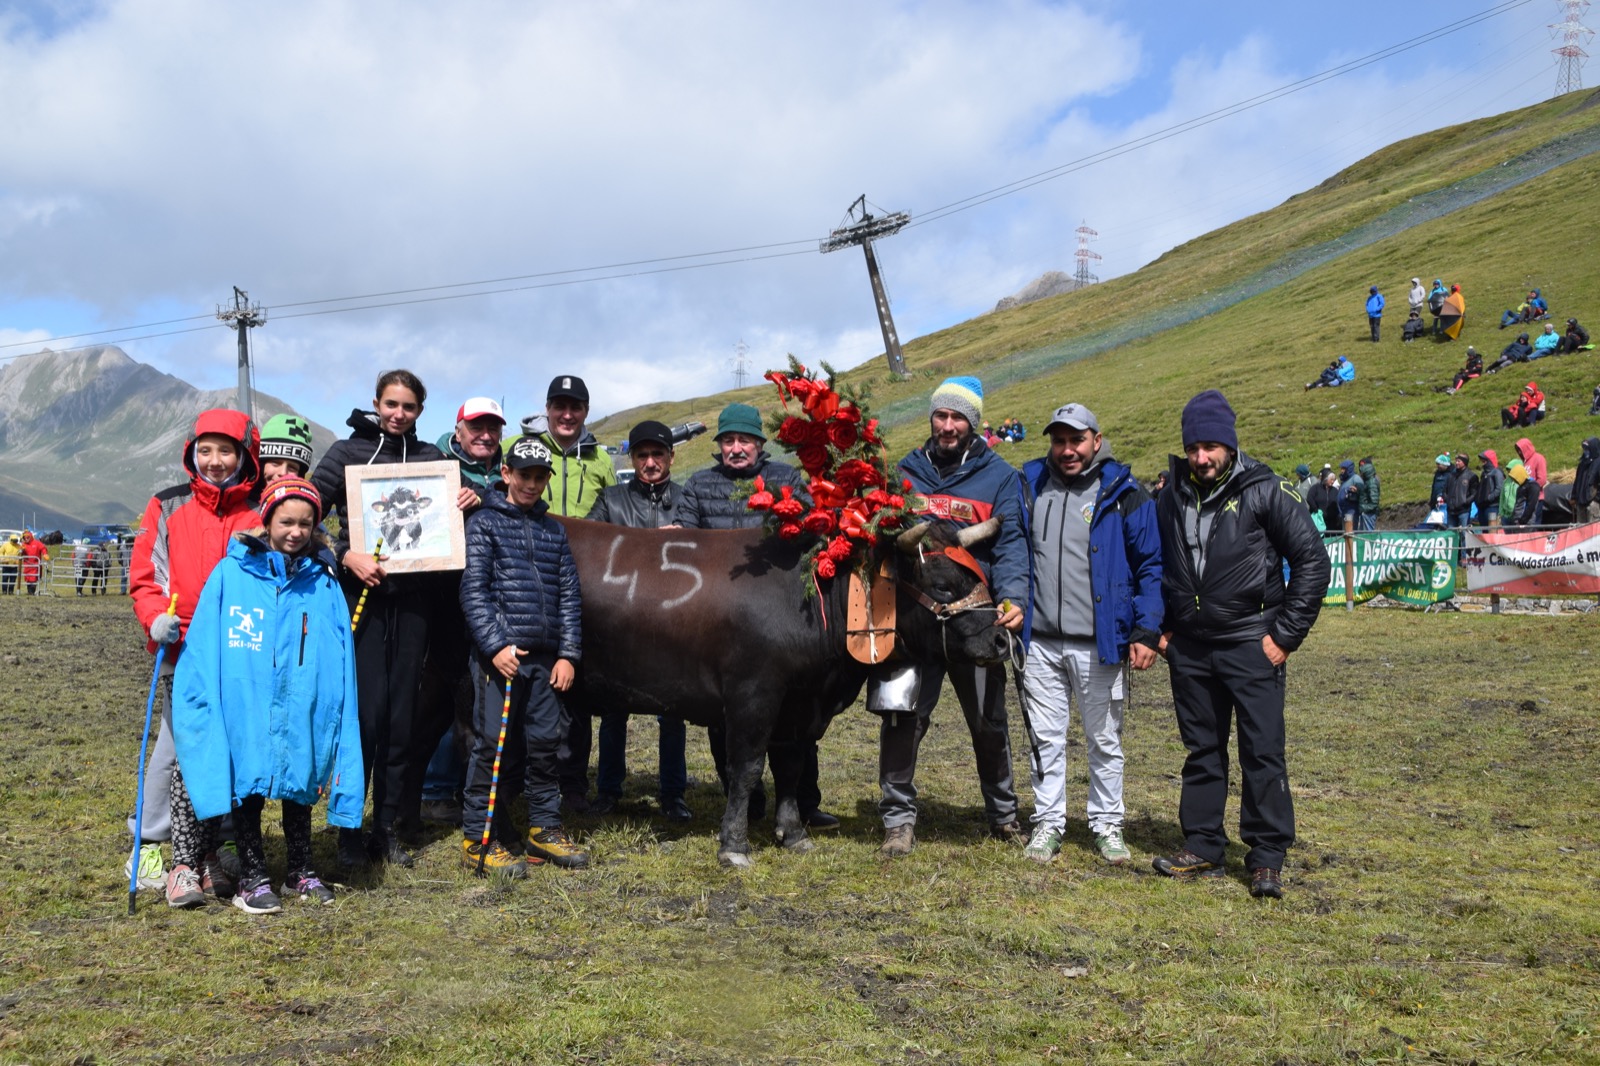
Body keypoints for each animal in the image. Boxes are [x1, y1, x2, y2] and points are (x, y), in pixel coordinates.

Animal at [556, 512, 1004, 864]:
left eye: (978, 574)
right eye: (942, 584)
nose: (1000, 638)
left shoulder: (800, 704)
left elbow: (790, 766)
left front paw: (793, 834)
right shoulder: (754, 693)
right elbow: (747, 767)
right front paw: (734, 845)